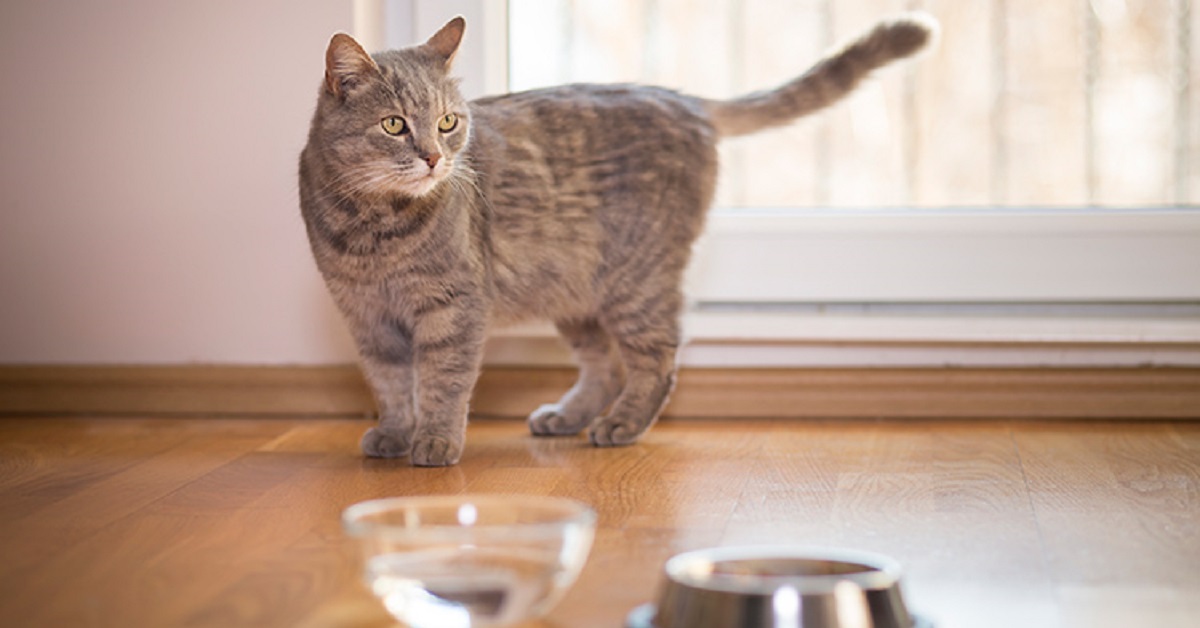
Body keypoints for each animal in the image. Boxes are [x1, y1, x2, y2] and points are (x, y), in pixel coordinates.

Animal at [300, 13, 936, 465]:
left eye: (448, 123)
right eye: (394, 125)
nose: (434, 158)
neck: (374, 230)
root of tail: (685, 99)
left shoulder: (454, 310)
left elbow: (441, 382)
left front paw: (434, 440)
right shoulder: (367, 318)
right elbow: (391, 384)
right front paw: (396, 433)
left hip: (637, 285)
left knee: (658, 361)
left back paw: (621, 424)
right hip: (576, 294)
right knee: (603, 366)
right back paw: (568, 416)